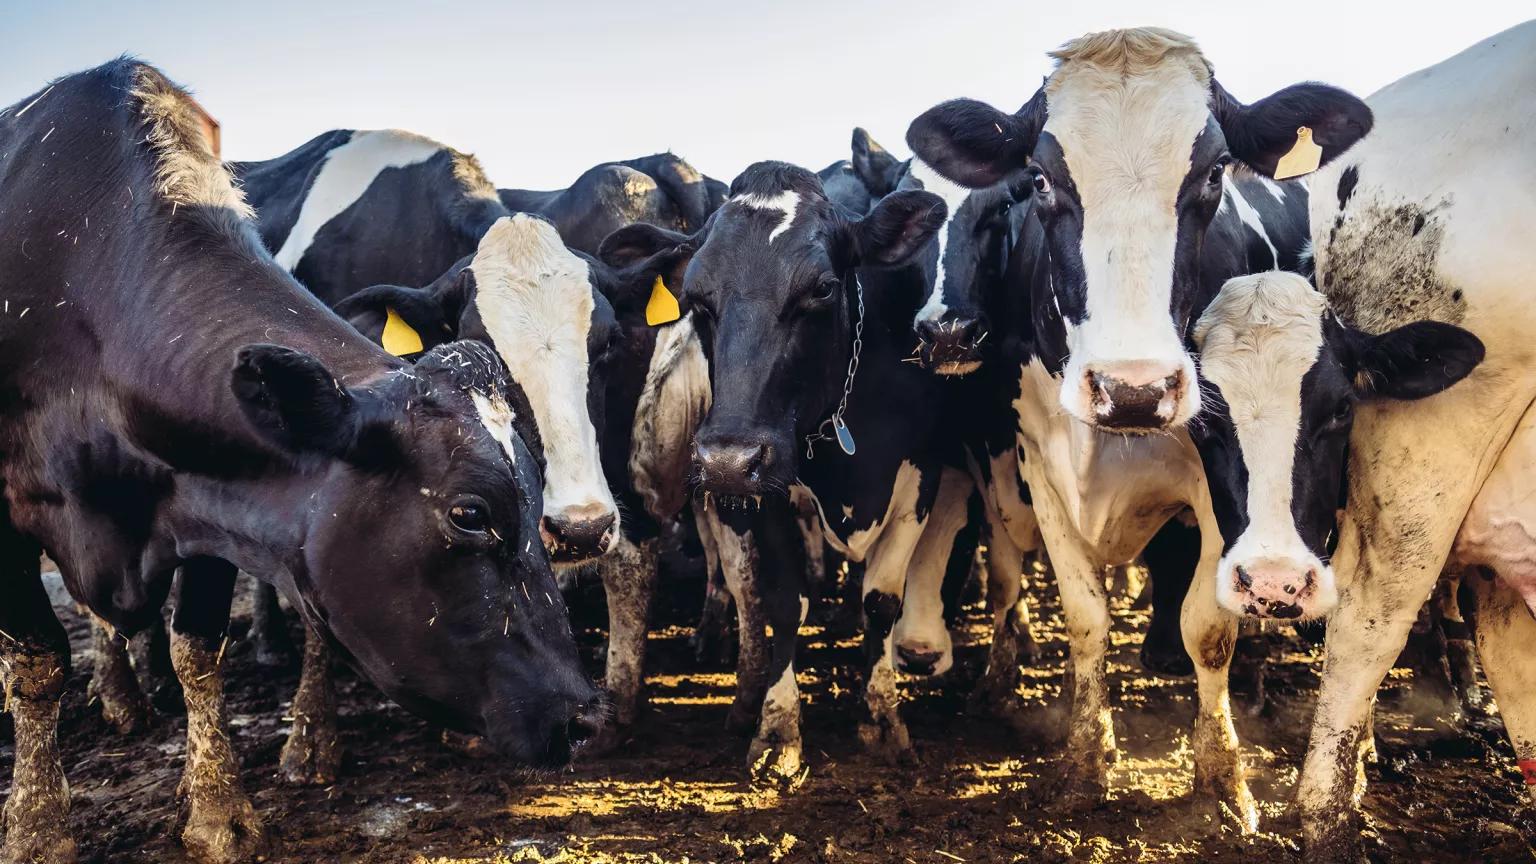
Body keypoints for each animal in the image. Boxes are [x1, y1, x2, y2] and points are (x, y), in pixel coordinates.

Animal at [0, 60, 599, 860]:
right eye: (470, 514)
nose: (584, 716)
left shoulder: (208, 493)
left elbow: (200, 647)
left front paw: (216, 805)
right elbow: (37, 663)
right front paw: (38, 828)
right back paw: (124, 699)